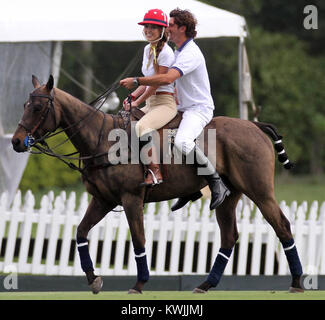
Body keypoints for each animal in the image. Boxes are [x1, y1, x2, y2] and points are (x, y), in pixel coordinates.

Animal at [11, 75, 302, 296]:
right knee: (229, 236)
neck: (102, 140)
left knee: (282, 226)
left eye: (37, 108)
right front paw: (94, 279)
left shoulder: (131, 198)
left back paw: (297, 282)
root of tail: (255, 125)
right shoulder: (103, 200)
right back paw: (206, 284)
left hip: (260, 191)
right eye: (24, 104)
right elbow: (81, 233)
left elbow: (139, 239)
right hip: (229, 197)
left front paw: (139, 284)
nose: (15, 141)